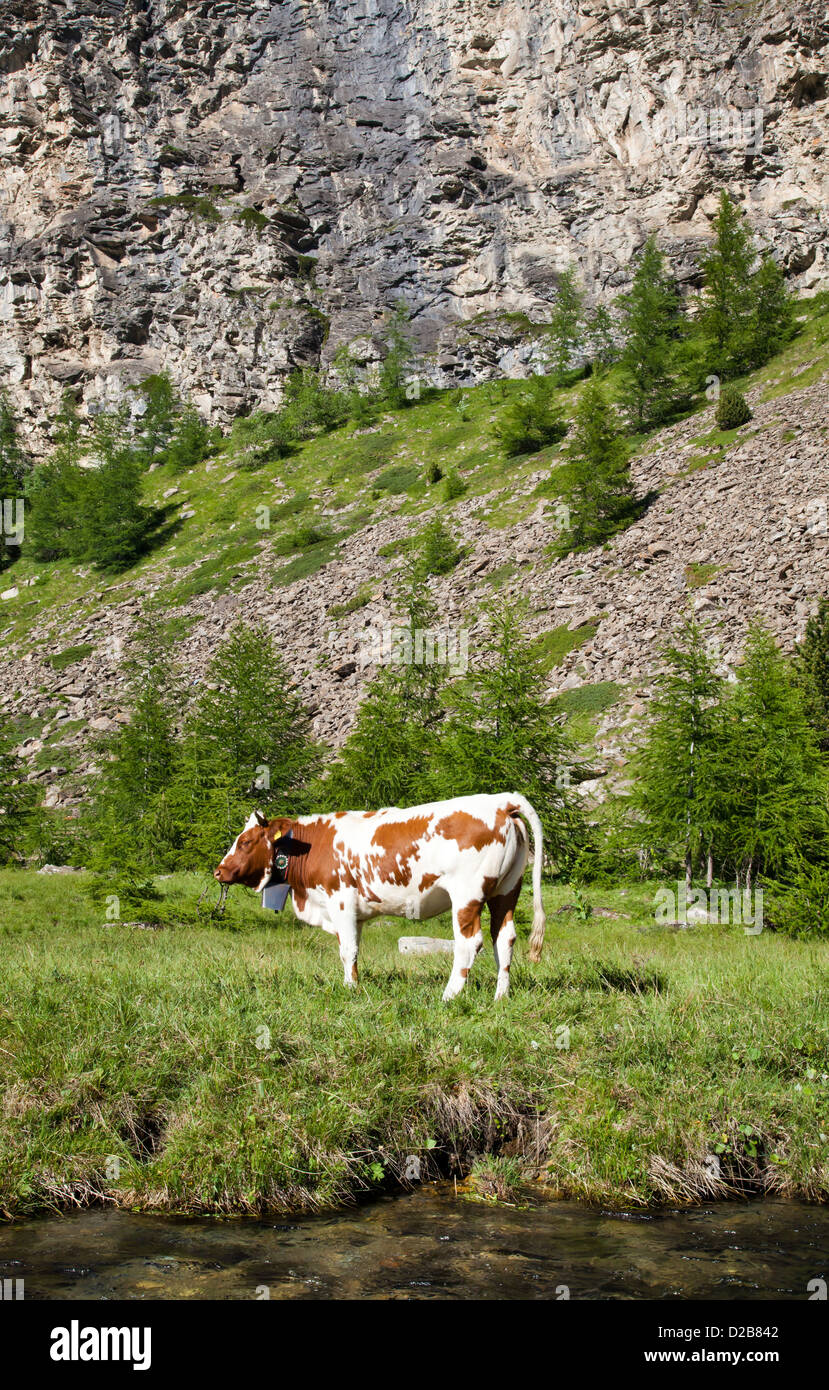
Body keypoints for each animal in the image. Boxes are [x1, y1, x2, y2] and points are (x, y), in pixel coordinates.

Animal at [214, 793, 546, 1001]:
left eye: (245, 842)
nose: (219, 871)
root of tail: (500, 801)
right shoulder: (354, 914)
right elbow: (353, 950)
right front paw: (355, 983)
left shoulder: (341, 901)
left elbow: (347, 950)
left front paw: (349, 989)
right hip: (506, 891)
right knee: (504, 939)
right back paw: (500, 996)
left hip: (467, 895)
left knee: (469, 942)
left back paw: (450, 995)